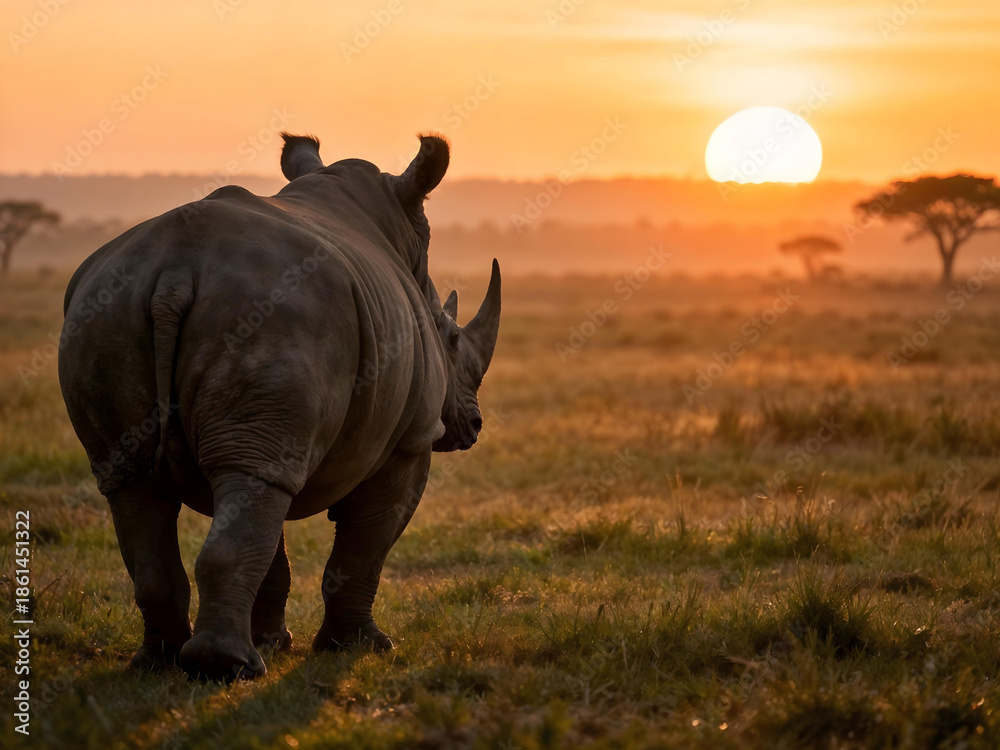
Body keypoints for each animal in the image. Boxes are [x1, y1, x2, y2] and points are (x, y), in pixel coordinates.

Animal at [57, 133, 501, 680]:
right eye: (452, 338)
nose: (474, 425)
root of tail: (174, 272)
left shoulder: (278, 430)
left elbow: (268, 535)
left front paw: (275, 642)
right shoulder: (409, 440)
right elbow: (366, 545)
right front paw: (363, 647)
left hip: (106, 312)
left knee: (144, 484)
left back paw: (161, 663)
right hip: (273, 315)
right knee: (243, 487)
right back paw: (226, 667)